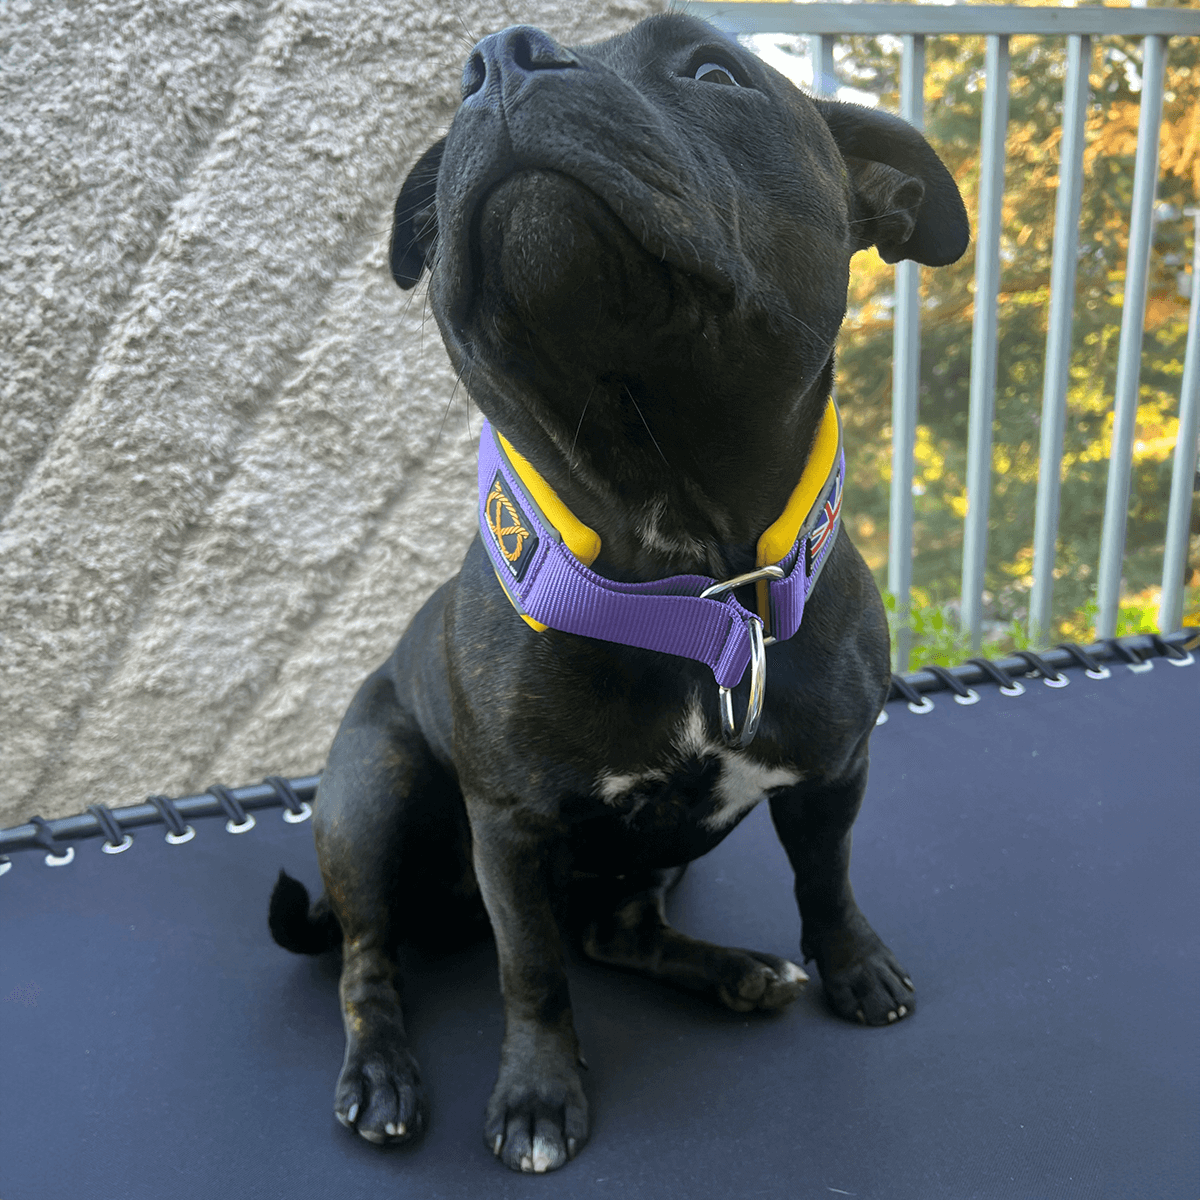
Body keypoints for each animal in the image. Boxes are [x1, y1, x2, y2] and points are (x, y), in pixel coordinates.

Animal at [270, 11, 964, 1171]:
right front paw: (539, 1096)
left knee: (613, 932)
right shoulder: (508, 832)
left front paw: (851, 964)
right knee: (371, 959)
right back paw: (380, 1074)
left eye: (715, 72)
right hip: (369, 795)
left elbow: (826, 878)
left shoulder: (835, 773)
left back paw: (735, 971)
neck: (692, 580)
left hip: (644, 866)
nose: (502, 57)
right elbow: (532, 974)